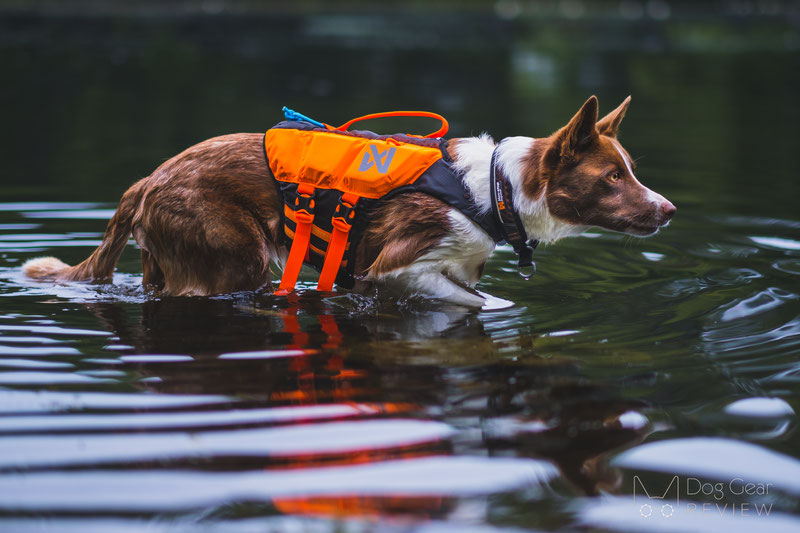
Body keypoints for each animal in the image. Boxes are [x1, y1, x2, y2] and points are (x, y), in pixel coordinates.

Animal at [21, 93, 676, 306]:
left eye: (628, 172)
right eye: (612, 177)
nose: (669, 210)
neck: (496, 190)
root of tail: (146, 181)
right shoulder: (391, 265)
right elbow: (473, 303)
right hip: (236, 256)